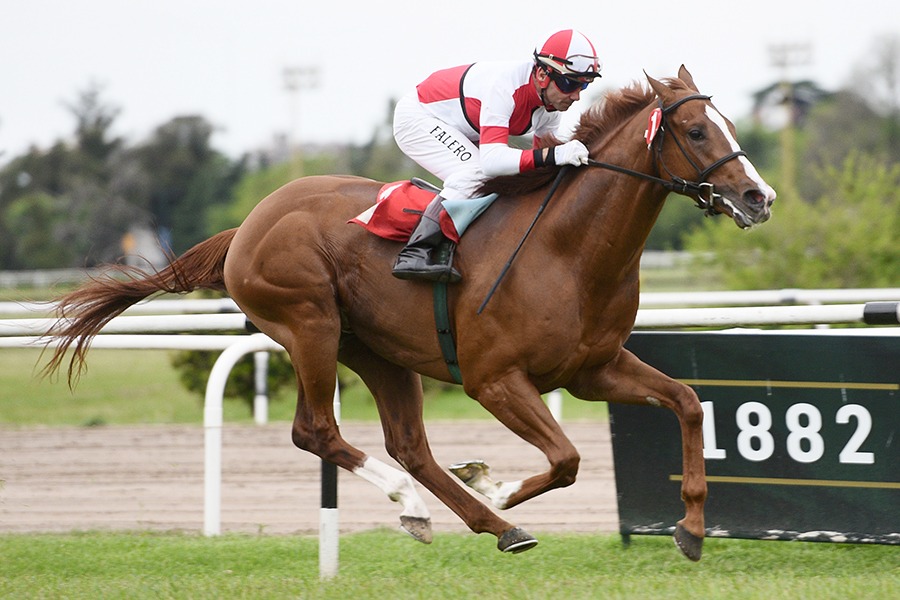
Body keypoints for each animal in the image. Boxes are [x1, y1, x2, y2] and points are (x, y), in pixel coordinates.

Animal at [44, 66, 775, 561]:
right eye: (695, 129)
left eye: (733, 126)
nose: (758, 197)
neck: (569, 249)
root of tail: (248, 224)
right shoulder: (493, 379)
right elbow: (567, 457)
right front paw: (499, 486)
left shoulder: (593, 369)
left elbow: (687, 403)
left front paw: (690, 530)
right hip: (310, 324)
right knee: (316, 431)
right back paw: (438, 507)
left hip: (377, 350)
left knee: (410, 445)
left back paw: (471, 519)